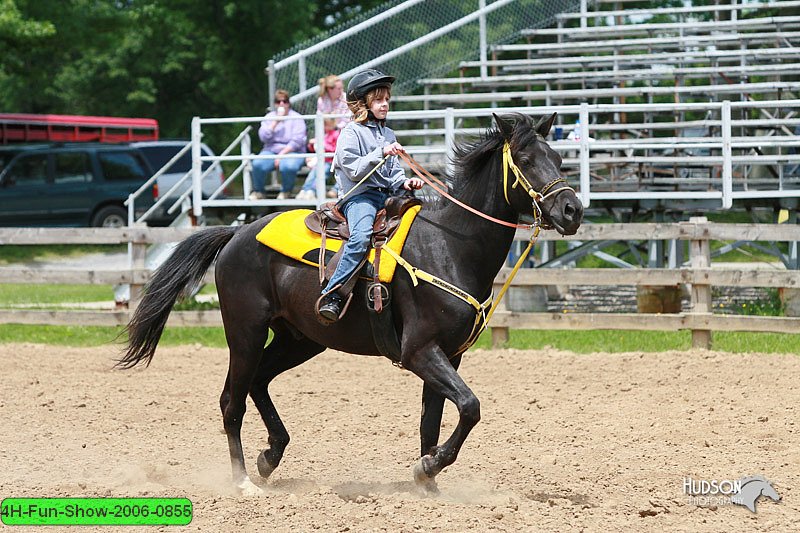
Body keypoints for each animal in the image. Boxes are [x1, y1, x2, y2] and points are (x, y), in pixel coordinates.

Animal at [120, 113, 580, 494]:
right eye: (525, 158)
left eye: (558, 156)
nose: (572, 209)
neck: (449, 246)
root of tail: (236, 234)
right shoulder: (420, 351)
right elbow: (469, 407)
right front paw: (428, 469)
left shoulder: (449, 355)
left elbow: (432, 422)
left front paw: (427, 480)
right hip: (245, 332)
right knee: (231, 401)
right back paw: (243, 481)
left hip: (300, 339)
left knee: (257, 383)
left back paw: (270, 456)